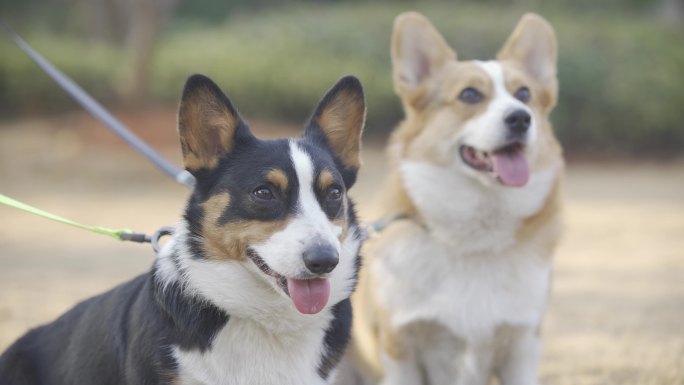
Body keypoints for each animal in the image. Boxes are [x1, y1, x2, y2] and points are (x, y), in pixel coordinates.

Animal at [344, 12, 564, 384]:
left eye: (525, 93)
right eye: (470, 95)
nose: (521, 117)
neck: (473, 239)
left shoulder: (521, 348)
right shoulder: (400, 348)